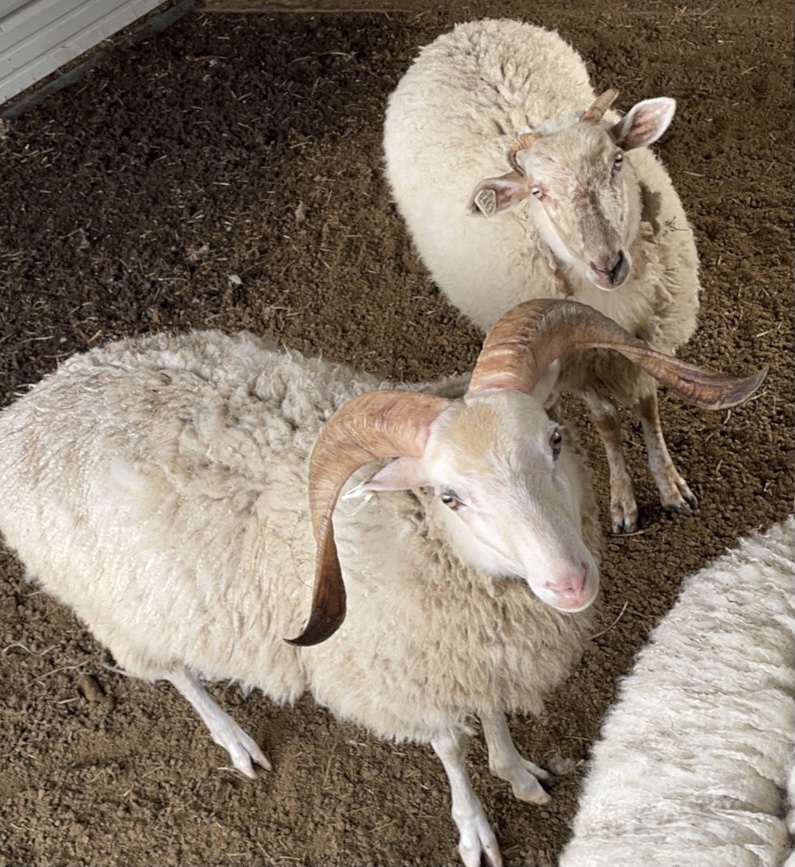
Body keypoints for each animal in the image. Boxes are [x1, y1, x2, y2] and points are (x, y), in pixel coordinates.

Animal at [0, 299, 765, 867]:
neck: (422, 535)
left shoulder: (472, 648)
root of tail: (34, 402)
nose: (571, 582)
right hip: (120, 605)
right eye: (450, 496)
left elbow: (491, 712)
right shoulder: (406, 669)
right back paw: (235, 740)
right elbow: (451, 748)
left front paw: (518, 771)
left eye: (552, 438)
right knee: (175, 673)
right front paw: (475, 828)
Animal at [383, 18, 704, 534]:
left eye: (617, 160)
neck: (613, 306)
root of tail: (465, 29)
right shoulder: (581, 364)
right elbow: (608, 421)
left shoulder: (647, 342)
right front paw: (623, 501)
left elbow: (647, 406)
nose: (607, 264)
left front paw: (670, 484)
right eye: (537, 192)